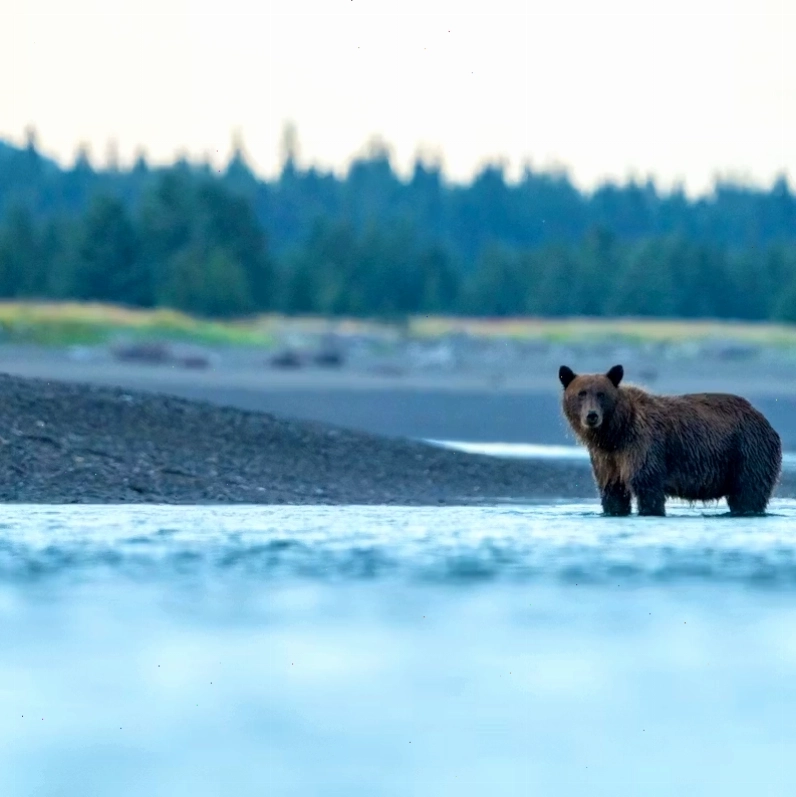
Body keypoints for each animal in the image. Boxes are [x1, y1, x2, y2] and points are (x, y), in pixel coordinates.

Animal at [559, 364, 782, 517]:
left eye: (601, 394)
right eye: (581, 393)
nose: (592, 416)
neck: (615, 434)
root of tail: (763, 419)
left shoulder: (643, 446)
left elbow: (648, 488)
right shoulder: (607, 460)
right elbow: (613, 493)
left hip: (747, 452)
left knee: (749, 493)